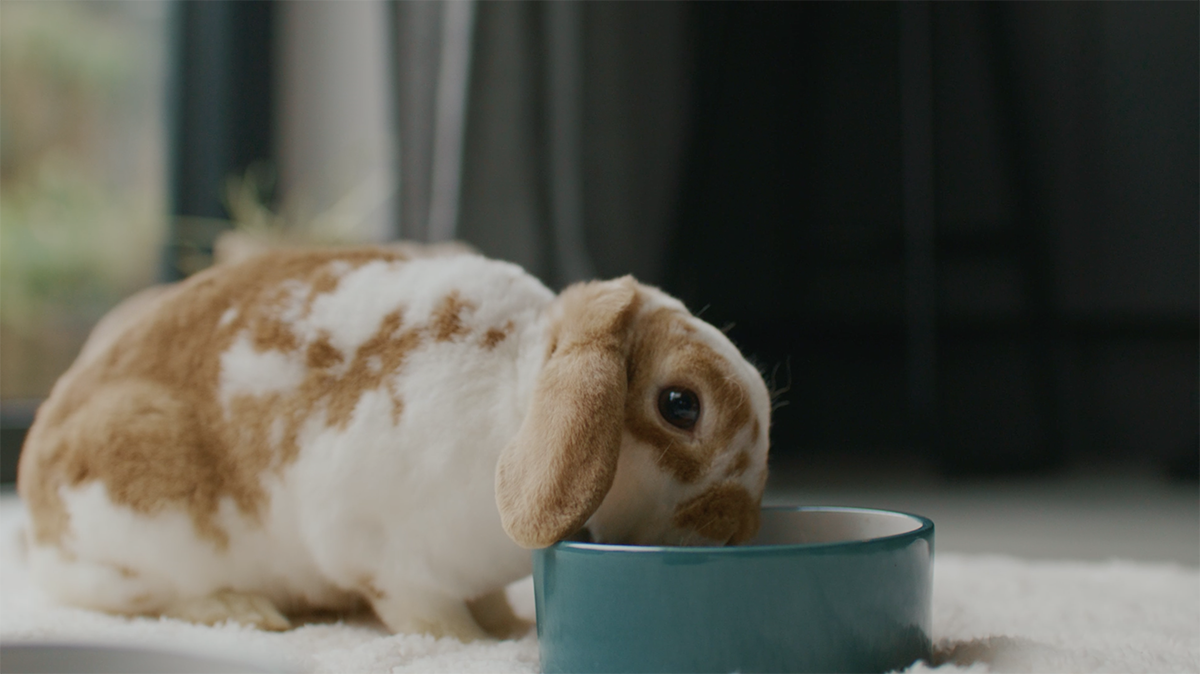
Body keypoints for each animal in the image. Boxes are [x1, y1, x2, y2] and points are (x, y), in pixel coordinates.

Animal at [18, 245, 772, 638]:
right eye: (681, 405)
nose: (737, 531)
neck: (517, 402)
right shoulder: (388, 558)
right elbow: (428, 614)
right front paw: (472, 644)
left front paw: (506, 627)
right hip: (143, 522)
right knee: (148, 596)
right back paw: (247, 613)